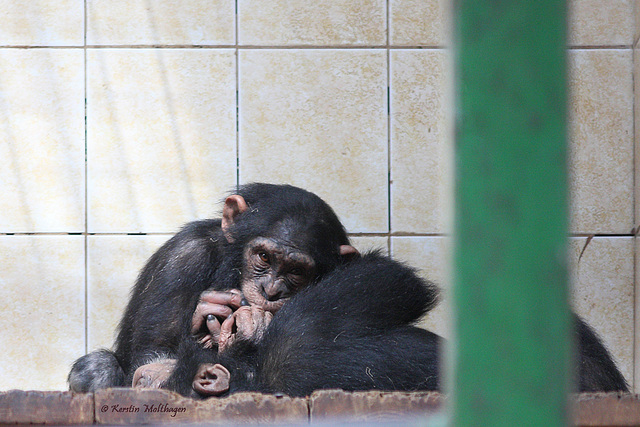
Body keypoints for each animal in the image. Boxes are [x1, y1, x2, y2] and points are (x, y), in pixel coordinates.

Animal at [71, 182, 360, 392]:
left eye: (297, 271)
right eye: (264, 257)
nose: (270, 291)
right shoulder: (182, 258)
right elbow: (151, 354)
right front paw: (209, 315)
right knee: (99, 366)